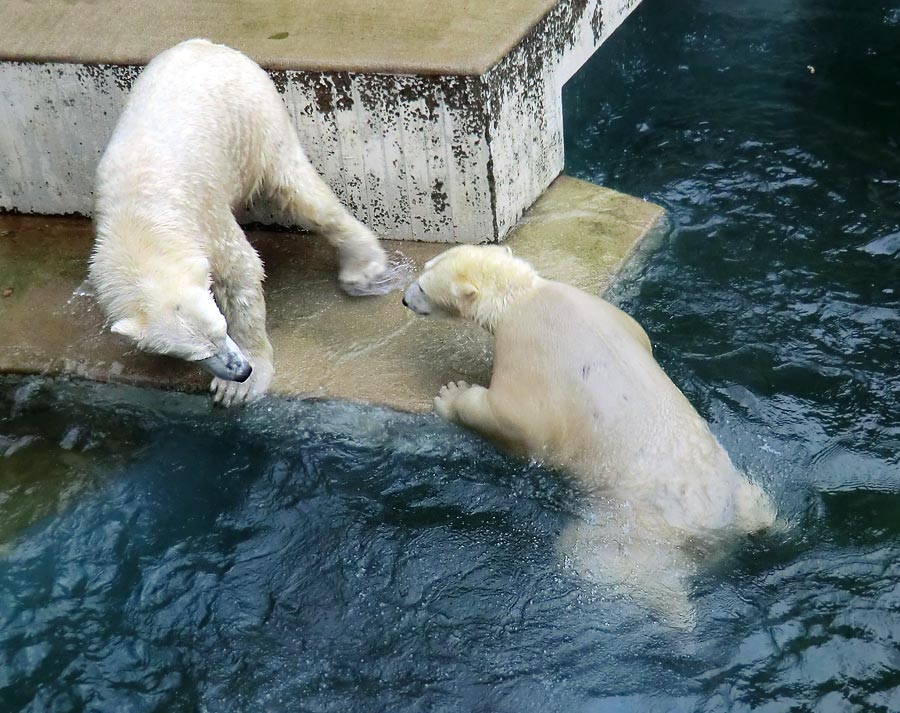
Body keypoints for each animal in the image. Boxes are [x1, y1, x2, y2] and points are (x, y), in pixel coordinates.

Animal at [91, 39, 390, 406]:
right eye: (197, 353)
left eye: (221, 329)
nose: (240, 369)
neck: (137, 224)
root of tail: (210, 45)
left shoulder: (203, 218)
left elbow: (241, 271)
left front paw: (239, 386)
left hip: (255, 120)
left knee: (298, 191)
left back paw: (362, 265)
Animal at [400, 246, 772, 628]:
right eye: (425, 268)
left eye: (424, 287)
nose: (403, 299)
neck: (522, 296)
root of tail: (716, 532)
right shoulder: (614, 316)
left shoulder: (528, 351)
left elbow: (512, 417)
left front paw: (451, 395)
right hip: (739, 491)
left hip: (627, 529)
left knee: (596, 560)